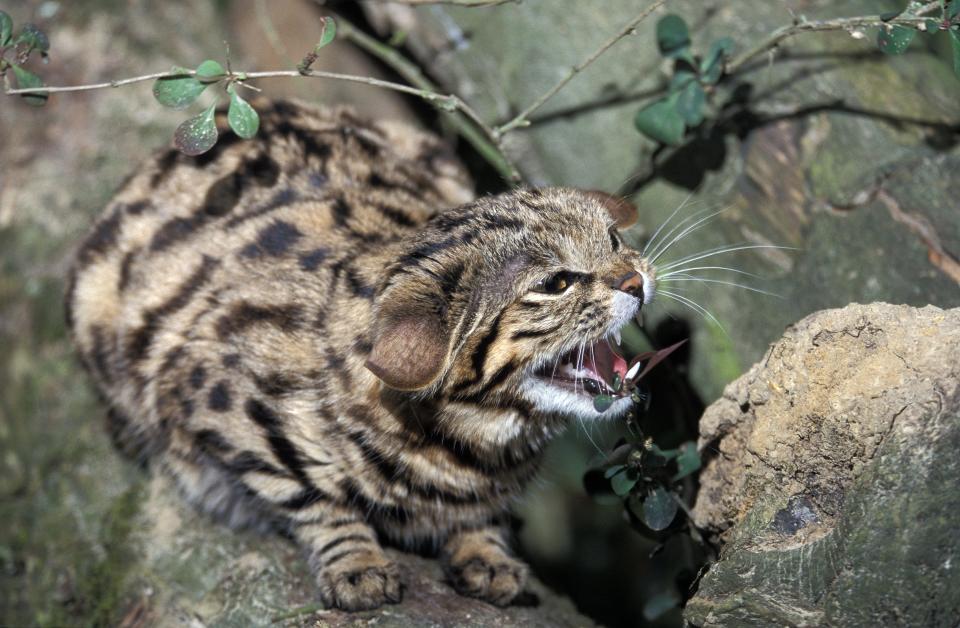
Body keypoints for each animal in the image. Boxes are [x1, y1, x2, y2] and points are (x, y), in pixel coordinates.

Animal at [65, 100, 652, 612]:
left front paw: (485, 547)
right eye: (556, 284)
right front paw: (356, 562)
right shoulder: (211, 401)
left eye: (613, 238)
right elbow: (311, 497)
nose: (637, 281)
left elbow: (480, 520)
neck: (470, 447)